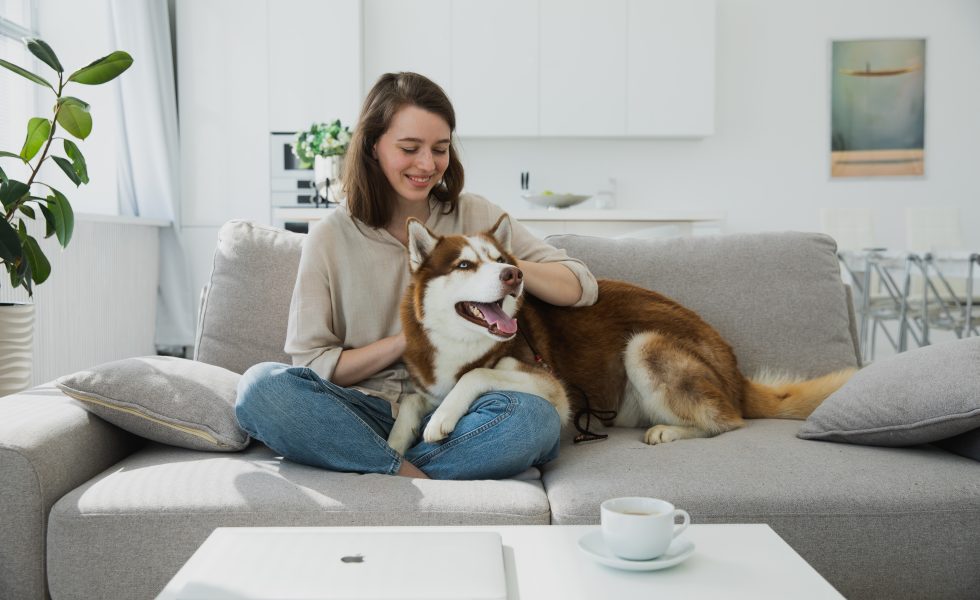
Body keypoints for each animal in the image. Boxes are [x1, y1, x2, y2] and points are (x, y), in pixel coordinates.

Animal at [386, 216, 852, 454]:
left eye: (501, 259)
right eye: (465, 264)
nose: (514, 274)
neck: (460, 344)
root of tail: (736, 373)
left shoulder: (553, 389)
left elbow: (475, 375)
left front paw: (441, 419)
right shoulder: (428, 382)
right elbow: (411, 399)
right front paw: (392, 443)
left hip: (645, 344)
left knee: (728, 422)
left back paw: (670, 431)